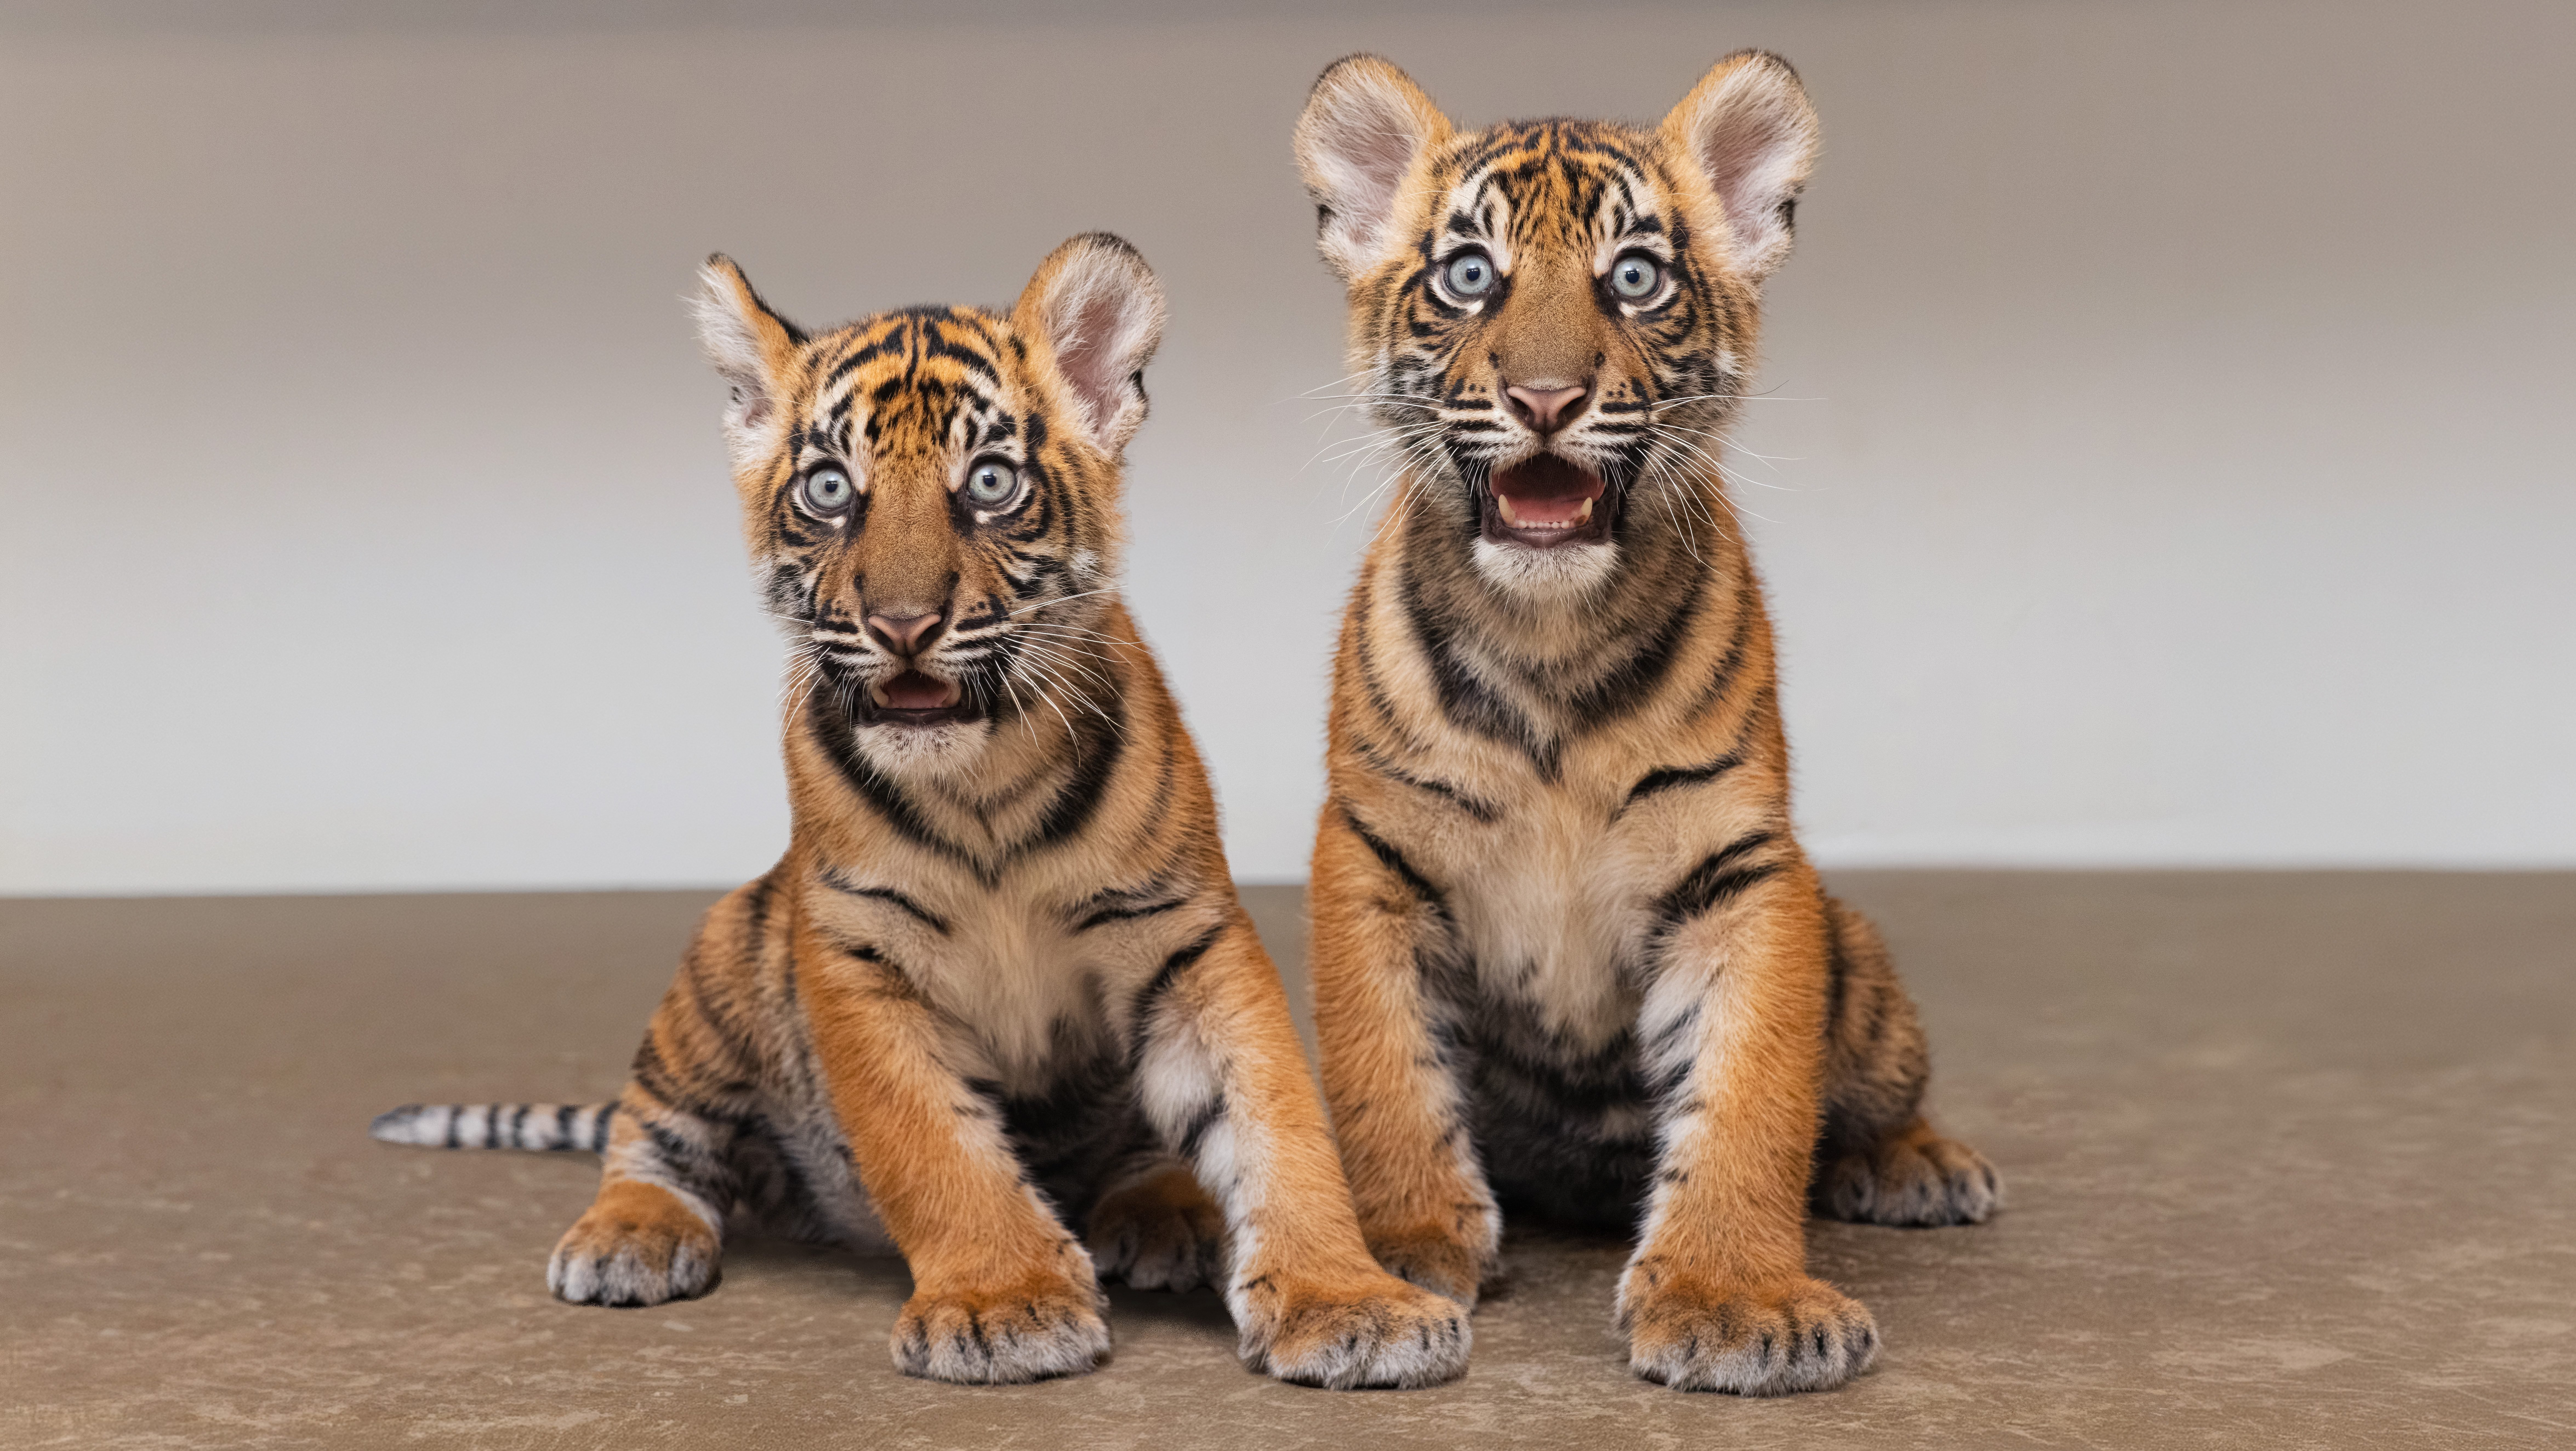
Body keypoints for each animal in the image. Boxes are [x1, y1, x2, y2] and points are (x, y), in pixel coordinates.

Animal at [370, 234, 1468, 1390]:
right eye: (828, 490)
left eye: (989, 483)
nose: (902, 626)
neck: (985, 783)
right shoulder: (856, 954)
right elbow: (937, 1147)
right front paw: (1005, 1302)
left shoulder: (1186, 935)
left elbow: (1275, 1122)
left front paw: (1349, 1301)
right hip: (717, 967)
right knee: (650, 1134)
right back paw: (627, 1235)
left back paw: (1165, 1210)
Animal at [1288, 53, 2002, 1395]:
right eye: (1470, 276)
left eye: (1634, 277)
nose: (1546, 398)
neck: (1548, 639)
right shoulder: (1373, 852)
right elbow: (1384, 1073)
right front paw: (1401, 1245)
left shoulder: (1741, 866)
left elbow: (1750, 1094)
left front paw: (1734, 1300)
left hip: (1860, 967)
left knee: (1876, 1095)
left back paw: (1917, 1165)